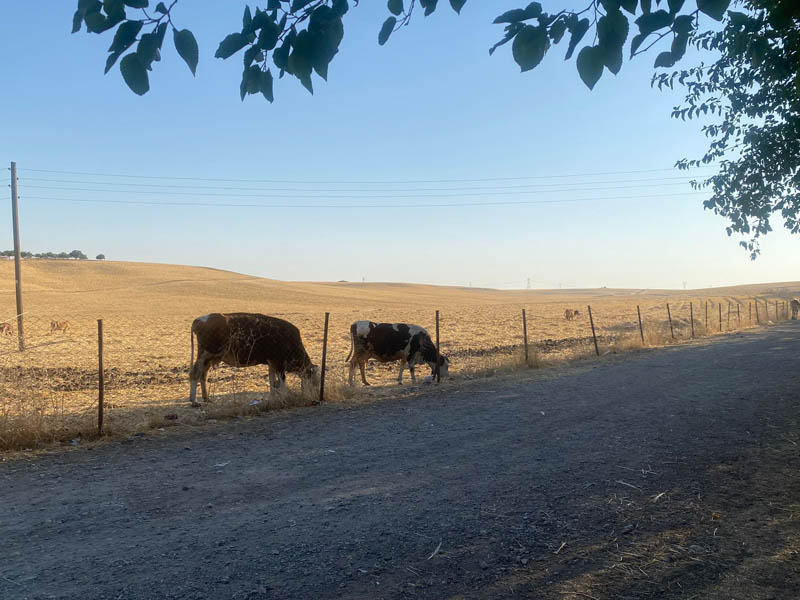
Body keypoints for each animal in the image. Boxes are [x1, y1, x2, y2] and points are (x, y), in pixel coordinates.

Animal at [189, 312, 318, 406]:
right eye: (313, 379)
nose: (315, 398)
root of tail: (200, 319)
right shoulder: (279, 363)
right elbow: (281, 381)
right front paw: (284, 397)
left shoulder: (272, 363)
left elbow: (272, 381)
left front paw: (273, 397)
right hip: (205, 354)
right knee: (195, 373)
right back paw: (194, 401)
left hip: (209, 358)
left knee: (203, 374)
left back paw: (206, 398)